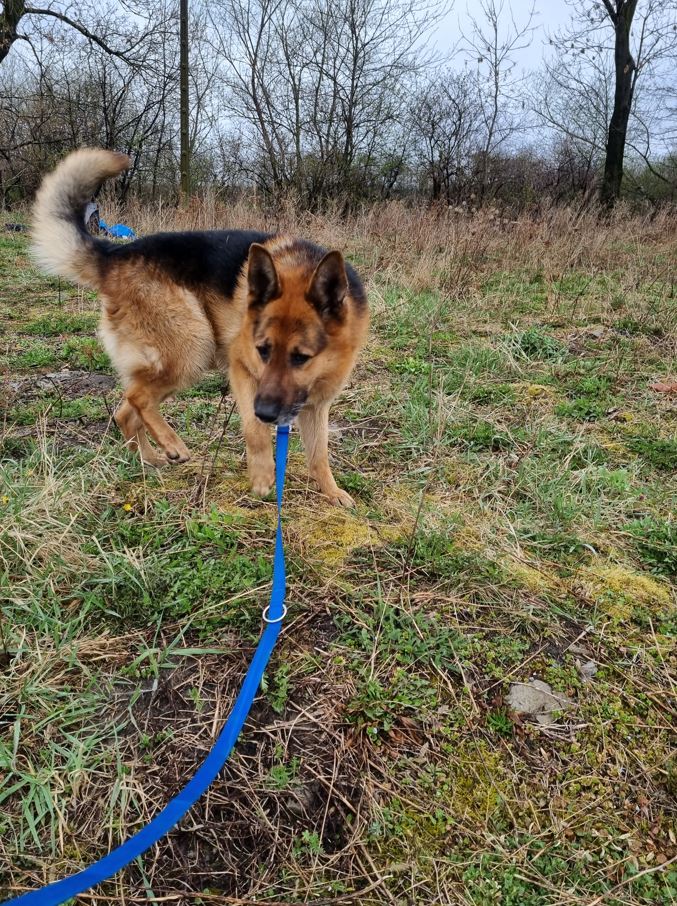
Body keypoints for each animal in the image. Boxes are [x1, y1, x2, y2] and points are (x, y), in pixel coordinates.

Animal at [31, 147, 368, 508]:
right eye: (262, 351)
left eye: (300, 357)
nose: (266, 412)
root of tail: (115, 253)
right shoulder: (242, 371)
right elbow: (255, 432)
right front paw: (263, 476)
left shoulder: (315, 405)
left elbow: (319, 453)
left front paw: (332, 492)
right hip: (195, 346)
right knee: (138, 397)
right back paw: (173, 445)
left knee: (125, 411)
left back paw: (150, 458)